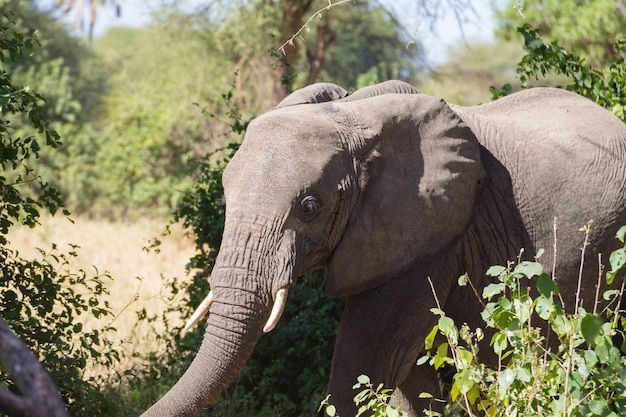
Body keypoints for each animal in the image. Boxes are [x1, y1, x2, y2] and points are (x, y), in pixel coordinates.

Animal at [141, 79, 624, 414]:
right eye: (225, 199)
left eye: (310, 207)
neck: (352, 114)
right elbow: (409, 377)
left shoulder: (428, 236)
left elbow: (367, 361)